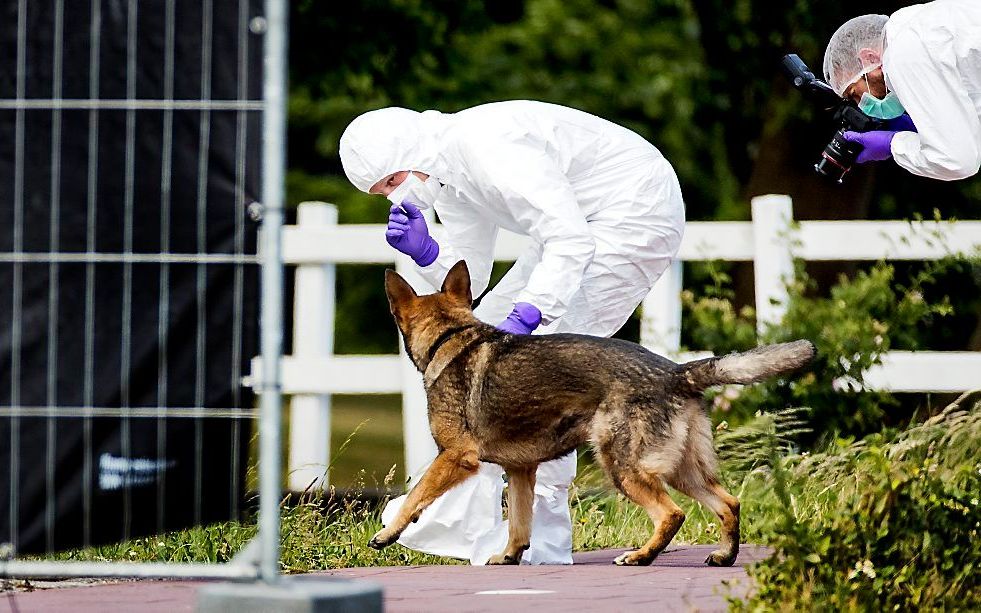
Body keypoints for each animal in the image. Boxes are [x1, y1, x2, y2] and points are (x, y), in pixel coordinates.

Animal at [372, 260, 816, 568]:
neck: (451, 336)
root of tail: (676, 372)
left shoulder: (454, 457)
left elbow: (414, 497)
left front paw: (387, 534)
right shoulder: (521, 471)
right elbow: (519, 525)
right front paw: (509, 556)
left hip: (623, 467)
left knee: (672, 513)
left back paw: (640, 557)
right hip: (681, 470)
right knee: (728, 503)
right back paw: (724, 556)